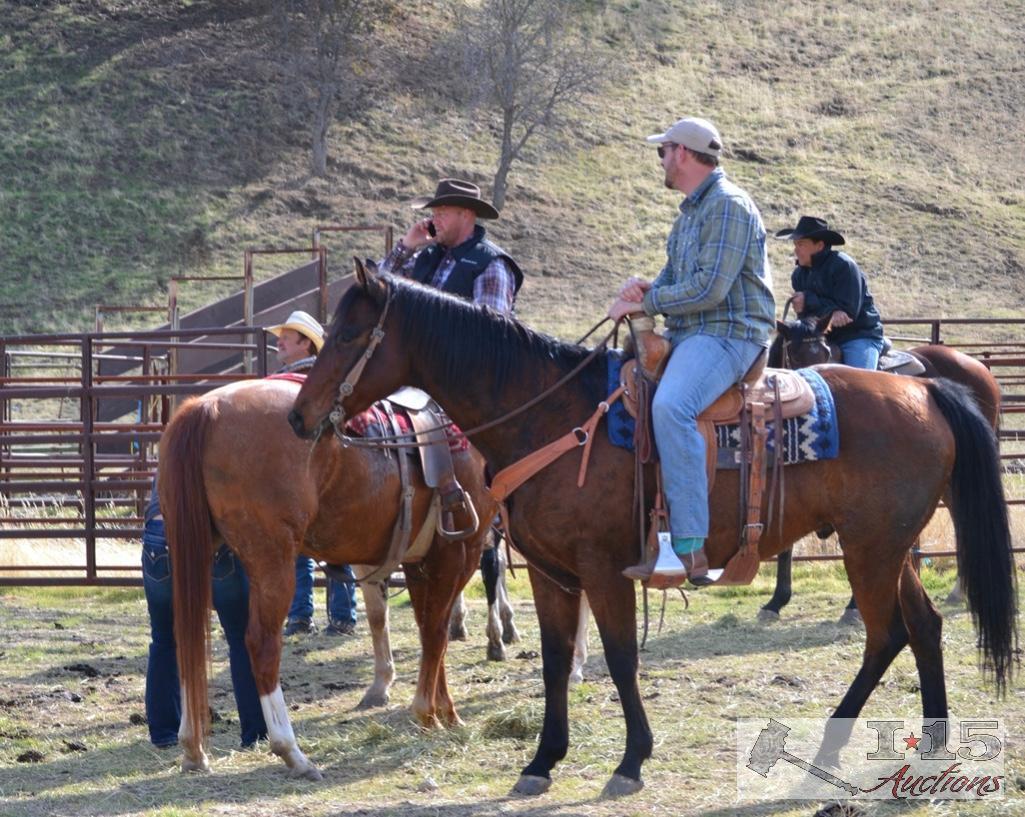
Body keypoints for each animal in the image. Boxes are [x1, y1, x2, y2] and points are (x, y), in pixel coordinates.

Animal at [157, 375, 494, 779]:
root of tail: (206, 408)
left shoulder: (420, 561)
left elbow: (429, 628)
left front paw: (442, 710)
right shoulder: (459, 551)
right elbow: (437, 633)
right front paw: (433, 713)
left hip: (195, 551)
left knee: (186, 634)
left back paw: (193, 748)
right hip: (273, 561)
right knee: (262, 644)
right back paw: (292, 752)